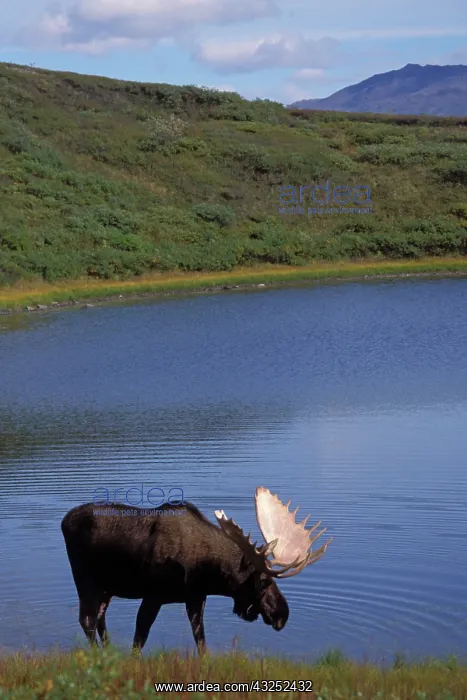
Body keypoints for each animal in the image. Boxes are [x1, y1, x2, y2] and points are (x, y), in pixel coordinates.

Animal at [61, 487, 332, 653]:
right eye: (264, 582)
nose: (282, 614)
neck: (207, 572)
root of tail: (64, 522)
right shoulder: (153, 595)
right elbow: (139, 639)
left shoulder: (195, 597)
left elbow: (200, 640)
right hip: (85, 579)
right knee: (87, 619)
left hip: (107, 587)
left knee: (99, 619)